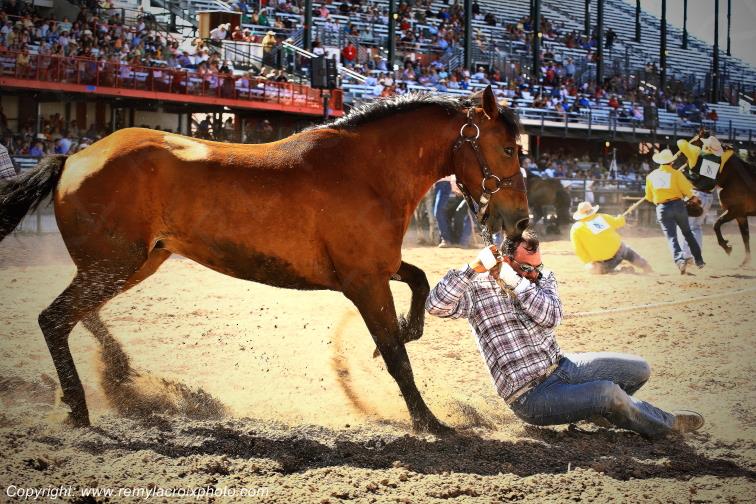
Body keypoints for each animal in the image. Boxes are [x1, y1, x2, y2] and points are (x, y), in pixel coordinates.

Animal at [0, 86, 529, 434]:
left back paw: (117, 376)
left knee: (77, 317)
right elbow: (398, 356)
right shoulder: (363, 281)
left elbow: (417, 283)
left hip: (130, 263)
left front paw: (409, 328)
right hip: (114, 265)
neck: (368, 171)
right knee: (54, 319)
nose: (521, 220)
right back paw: (79, 409)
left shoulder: (376, 269)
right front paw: (429, 422)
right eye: (508, 148)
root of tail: (74, 159)